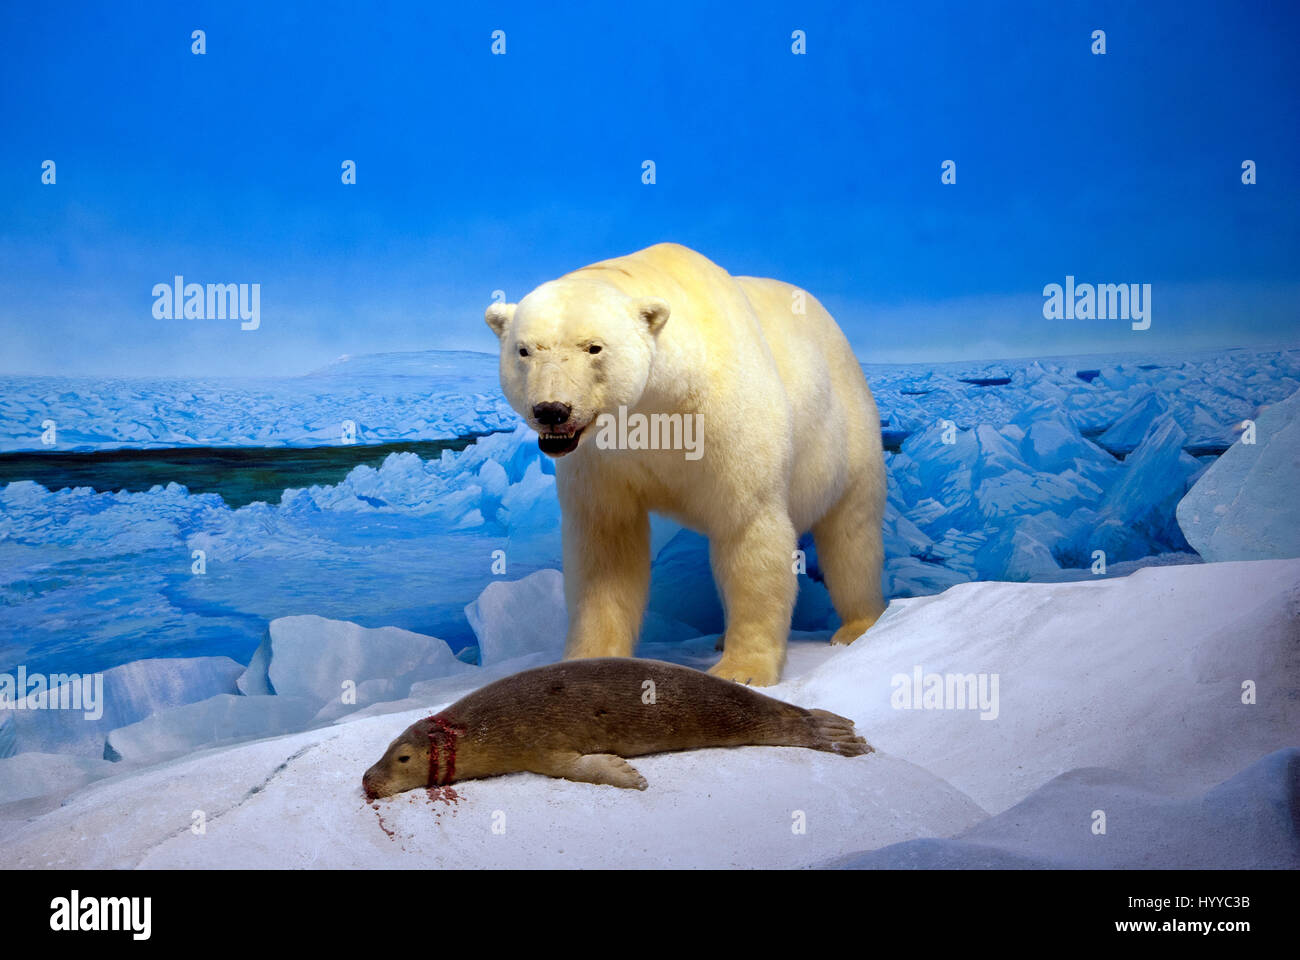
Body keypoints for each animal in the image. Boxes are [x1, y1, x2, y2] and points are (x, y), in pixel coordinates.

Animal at [483, 243, 889, 686]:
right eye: (524, 350)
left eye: (594, 347)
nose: (552, 410)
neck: (662, 400)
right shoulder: (602, 456)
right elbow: (606, 544)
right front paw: (585, 660)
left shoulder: (724, 416)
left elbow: (749, 529)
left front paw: (743, 670)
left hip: (849, 434)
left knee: (852, 535)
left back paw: (857, 625)